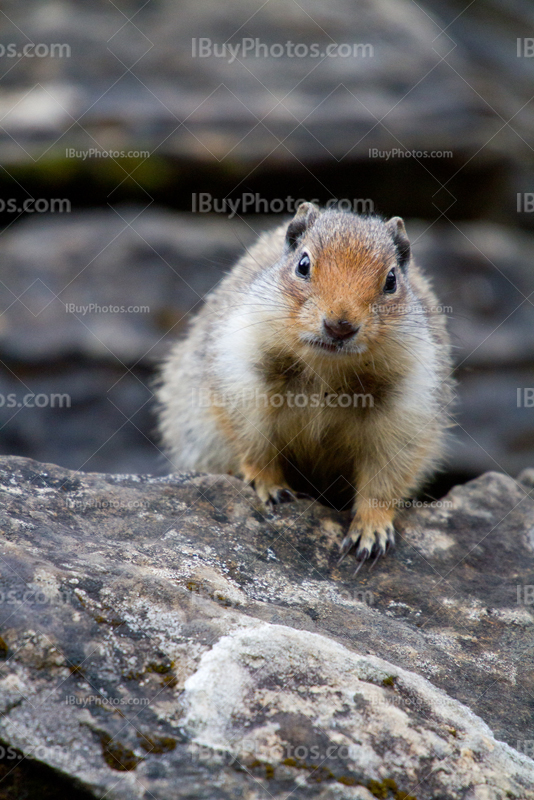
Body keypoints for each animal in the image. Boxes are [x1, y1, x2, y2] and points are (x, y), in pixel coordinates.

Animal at [157, 203, 454, 572]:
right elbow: (254, 444)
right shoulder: (242, 377)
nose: (340, 325)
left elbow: (385, 476)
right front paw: (271, 488)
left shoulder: (407, 408)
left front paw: (371, 533)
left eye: (391, 280)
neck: (327, 368)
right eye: (303, 264)